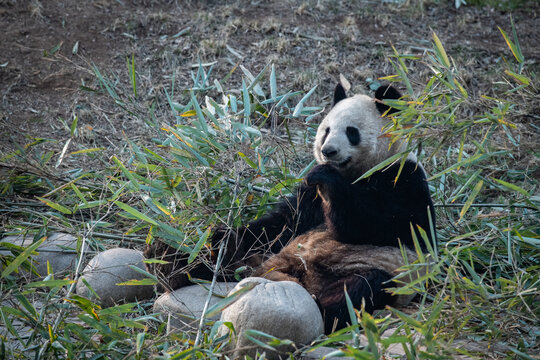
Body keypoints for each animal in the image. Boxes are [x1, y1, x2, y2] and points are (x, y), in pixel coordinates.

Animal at [143, 83, 434, 332]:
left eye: (352, 131)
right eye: (326, 130)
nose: (328, 151)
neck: (357, 173)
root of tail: (290, 276)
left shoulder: (403, 179)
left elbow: (384, 225)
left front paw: (328, 180)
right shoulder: (307, 198)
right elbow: (281, 223)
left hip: (380, 273)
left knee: (362, 288)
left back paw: (320, 309)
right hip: (262, 257)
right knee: (224, 255)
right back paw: (168, 261)